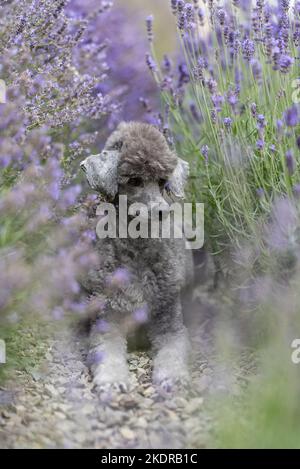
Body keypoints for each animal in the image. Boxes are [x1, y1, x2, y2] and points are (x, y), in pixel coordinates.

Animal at [81, 121, 193, 392]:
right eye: (134, 180)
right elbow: (107, 351)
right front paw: (112, 381)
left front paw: (173, 378)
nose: (161, 211)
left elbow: (173, 353)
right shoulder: (107, 320)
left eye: (163, 181)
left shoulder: (170, 323)